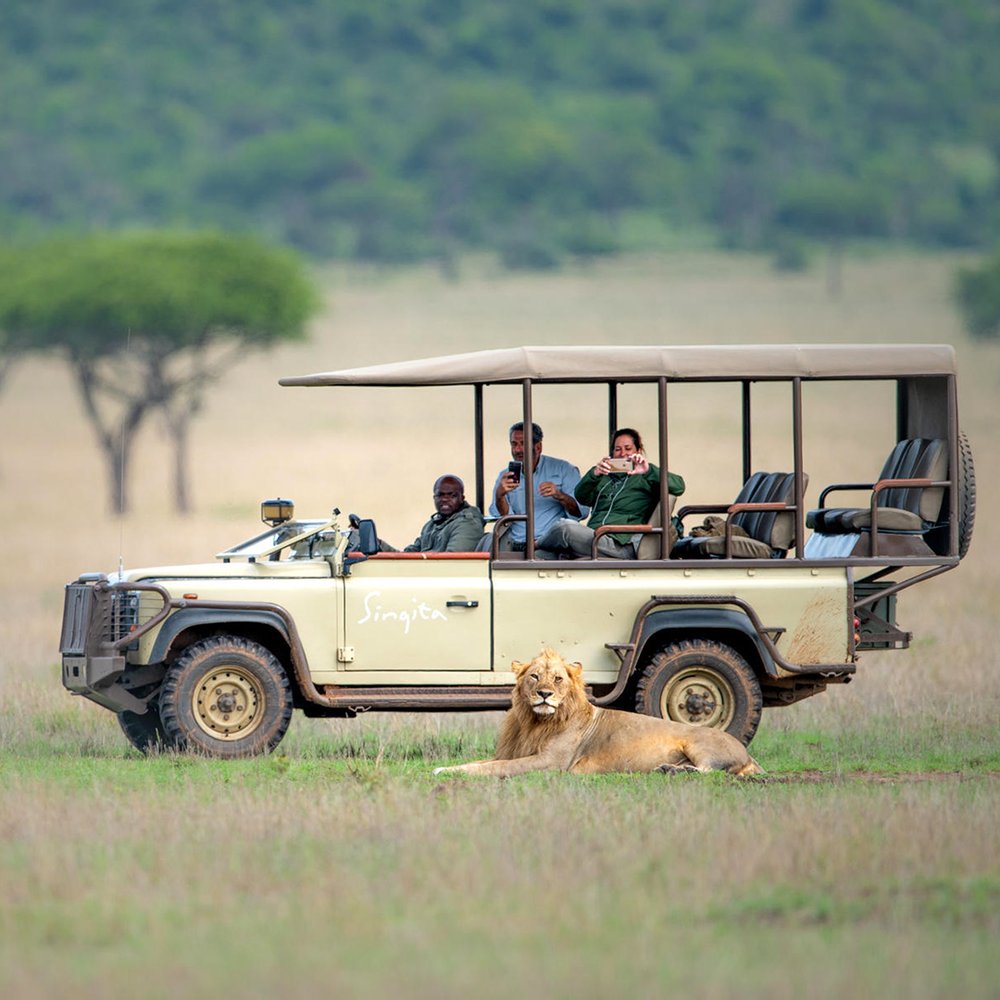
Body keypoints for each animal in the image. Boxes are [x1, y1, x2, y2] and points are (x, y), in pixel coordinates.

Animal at [433, 648, 762, 778]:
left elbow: (496, 768)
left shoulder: (551, 763)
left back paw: (671, 770)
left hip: (698, 743)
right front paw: (444, 769)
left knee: (710, 770)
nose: (544, 694)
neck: (535, 722)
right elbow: (481, 762)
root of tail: (748, 755)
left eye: (558, 679)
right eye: (535, 677)